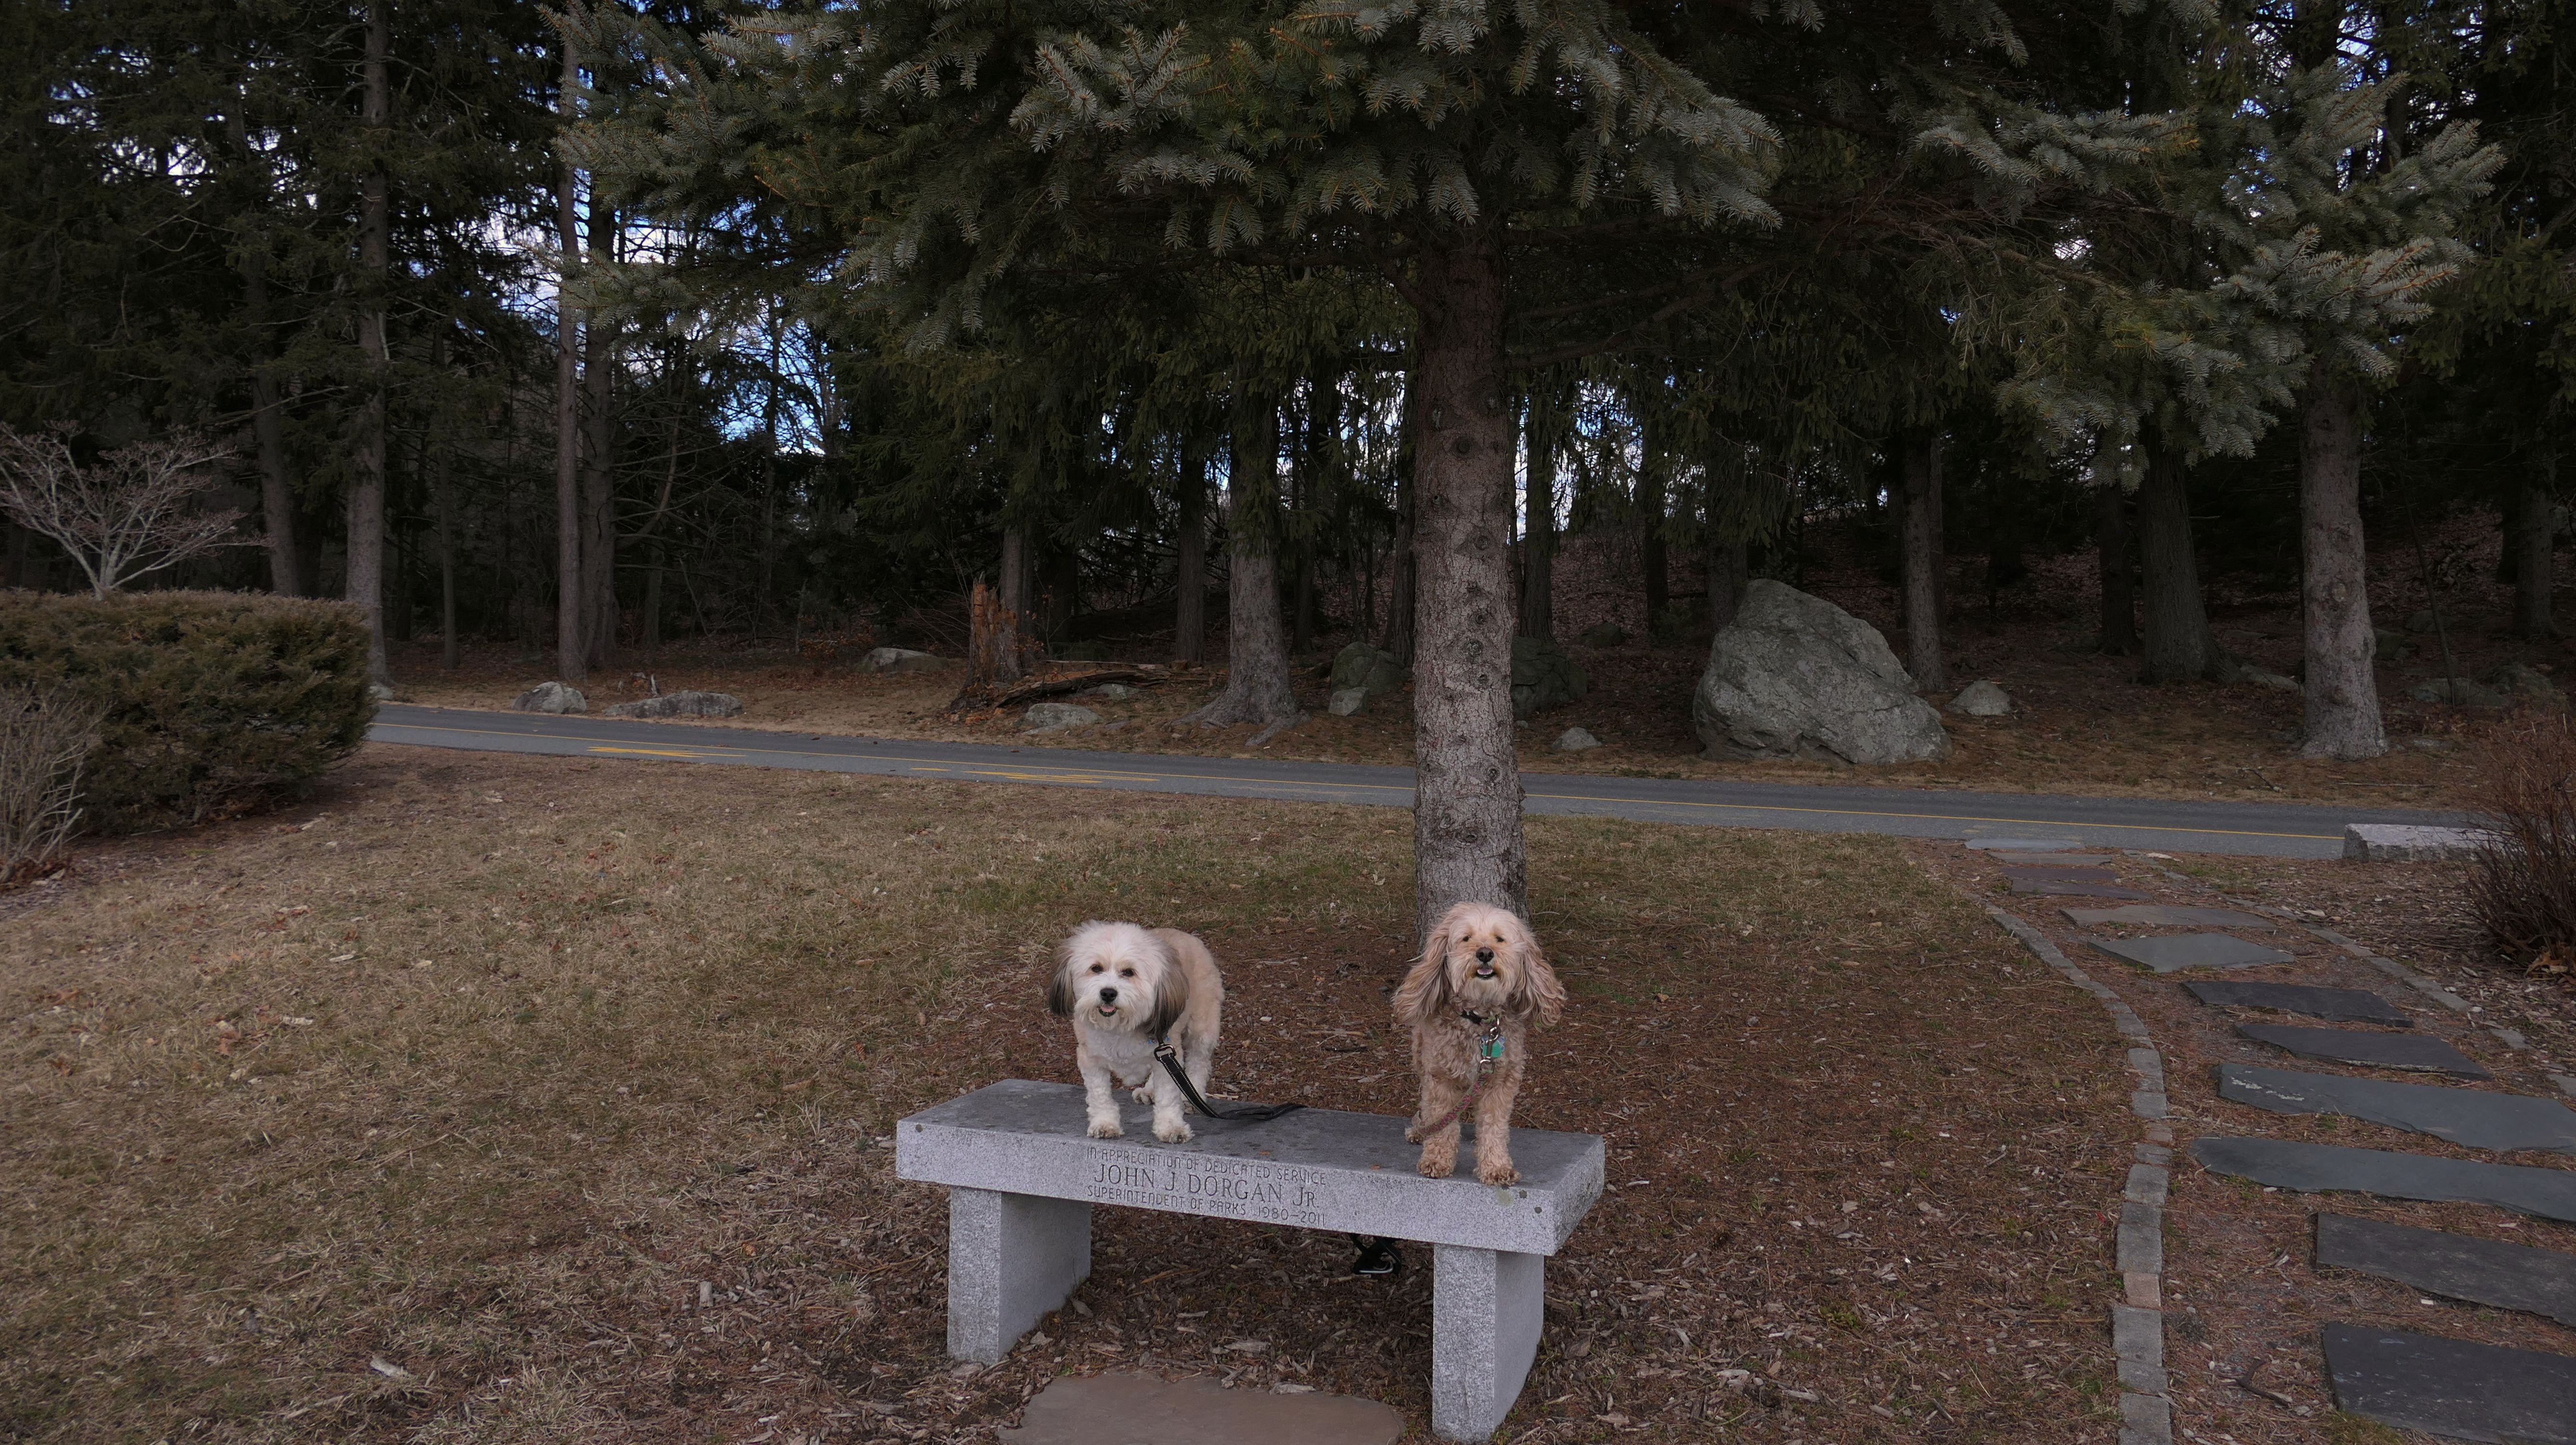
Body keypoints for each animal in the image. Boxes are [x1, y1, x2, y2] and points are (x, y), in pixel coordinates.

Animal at [1047, 921, 1224, 1143]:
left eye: (1129, 972)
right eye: (1096, 968)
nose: (1108, 993)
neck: (1119, 1027)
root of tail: (1188, 936)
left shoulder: (1169, 1049)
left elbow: (1168, 1097)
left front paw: (1171, 1127)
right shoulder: (1091, 1059)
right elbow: (1099, 1096)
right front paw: (1104, 1124)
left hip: (1201, 1027)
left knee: (1199, 1063)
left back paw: (1191, 1097)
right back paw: (1149, 1090)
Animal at [1394, 901, 1565, 1184]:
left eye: (1500, 939)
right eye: (1466, 939)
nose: (1485, 953)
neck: (1479, 1019)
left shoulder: (1501, 1081)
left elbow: (1494, 1127)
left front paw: (1496, 1167)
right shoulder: (1441, 1078)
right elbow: (1441, 1122)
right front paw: (1436, 1160)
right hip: (1421, 1054)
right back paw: (1421, 1129)